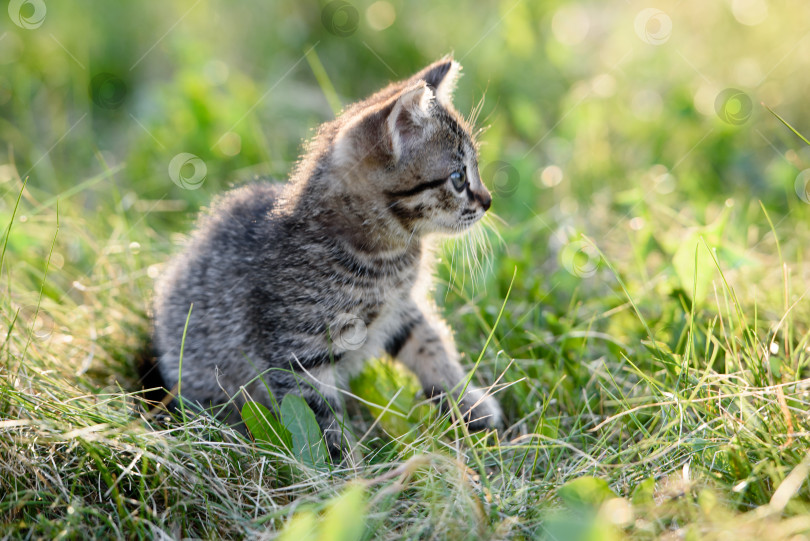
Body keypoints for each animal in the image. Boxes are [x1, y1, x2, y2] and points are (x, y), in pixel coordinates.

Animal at [153, 58, 498, 456]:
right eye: (458, 178)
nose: (488, 201)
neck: (385, 258)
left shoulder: (400, 310)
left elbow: (432, 347)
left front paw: (467, 402)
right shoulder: (299, 356)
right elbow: (321, 423)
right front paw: (349, 470)